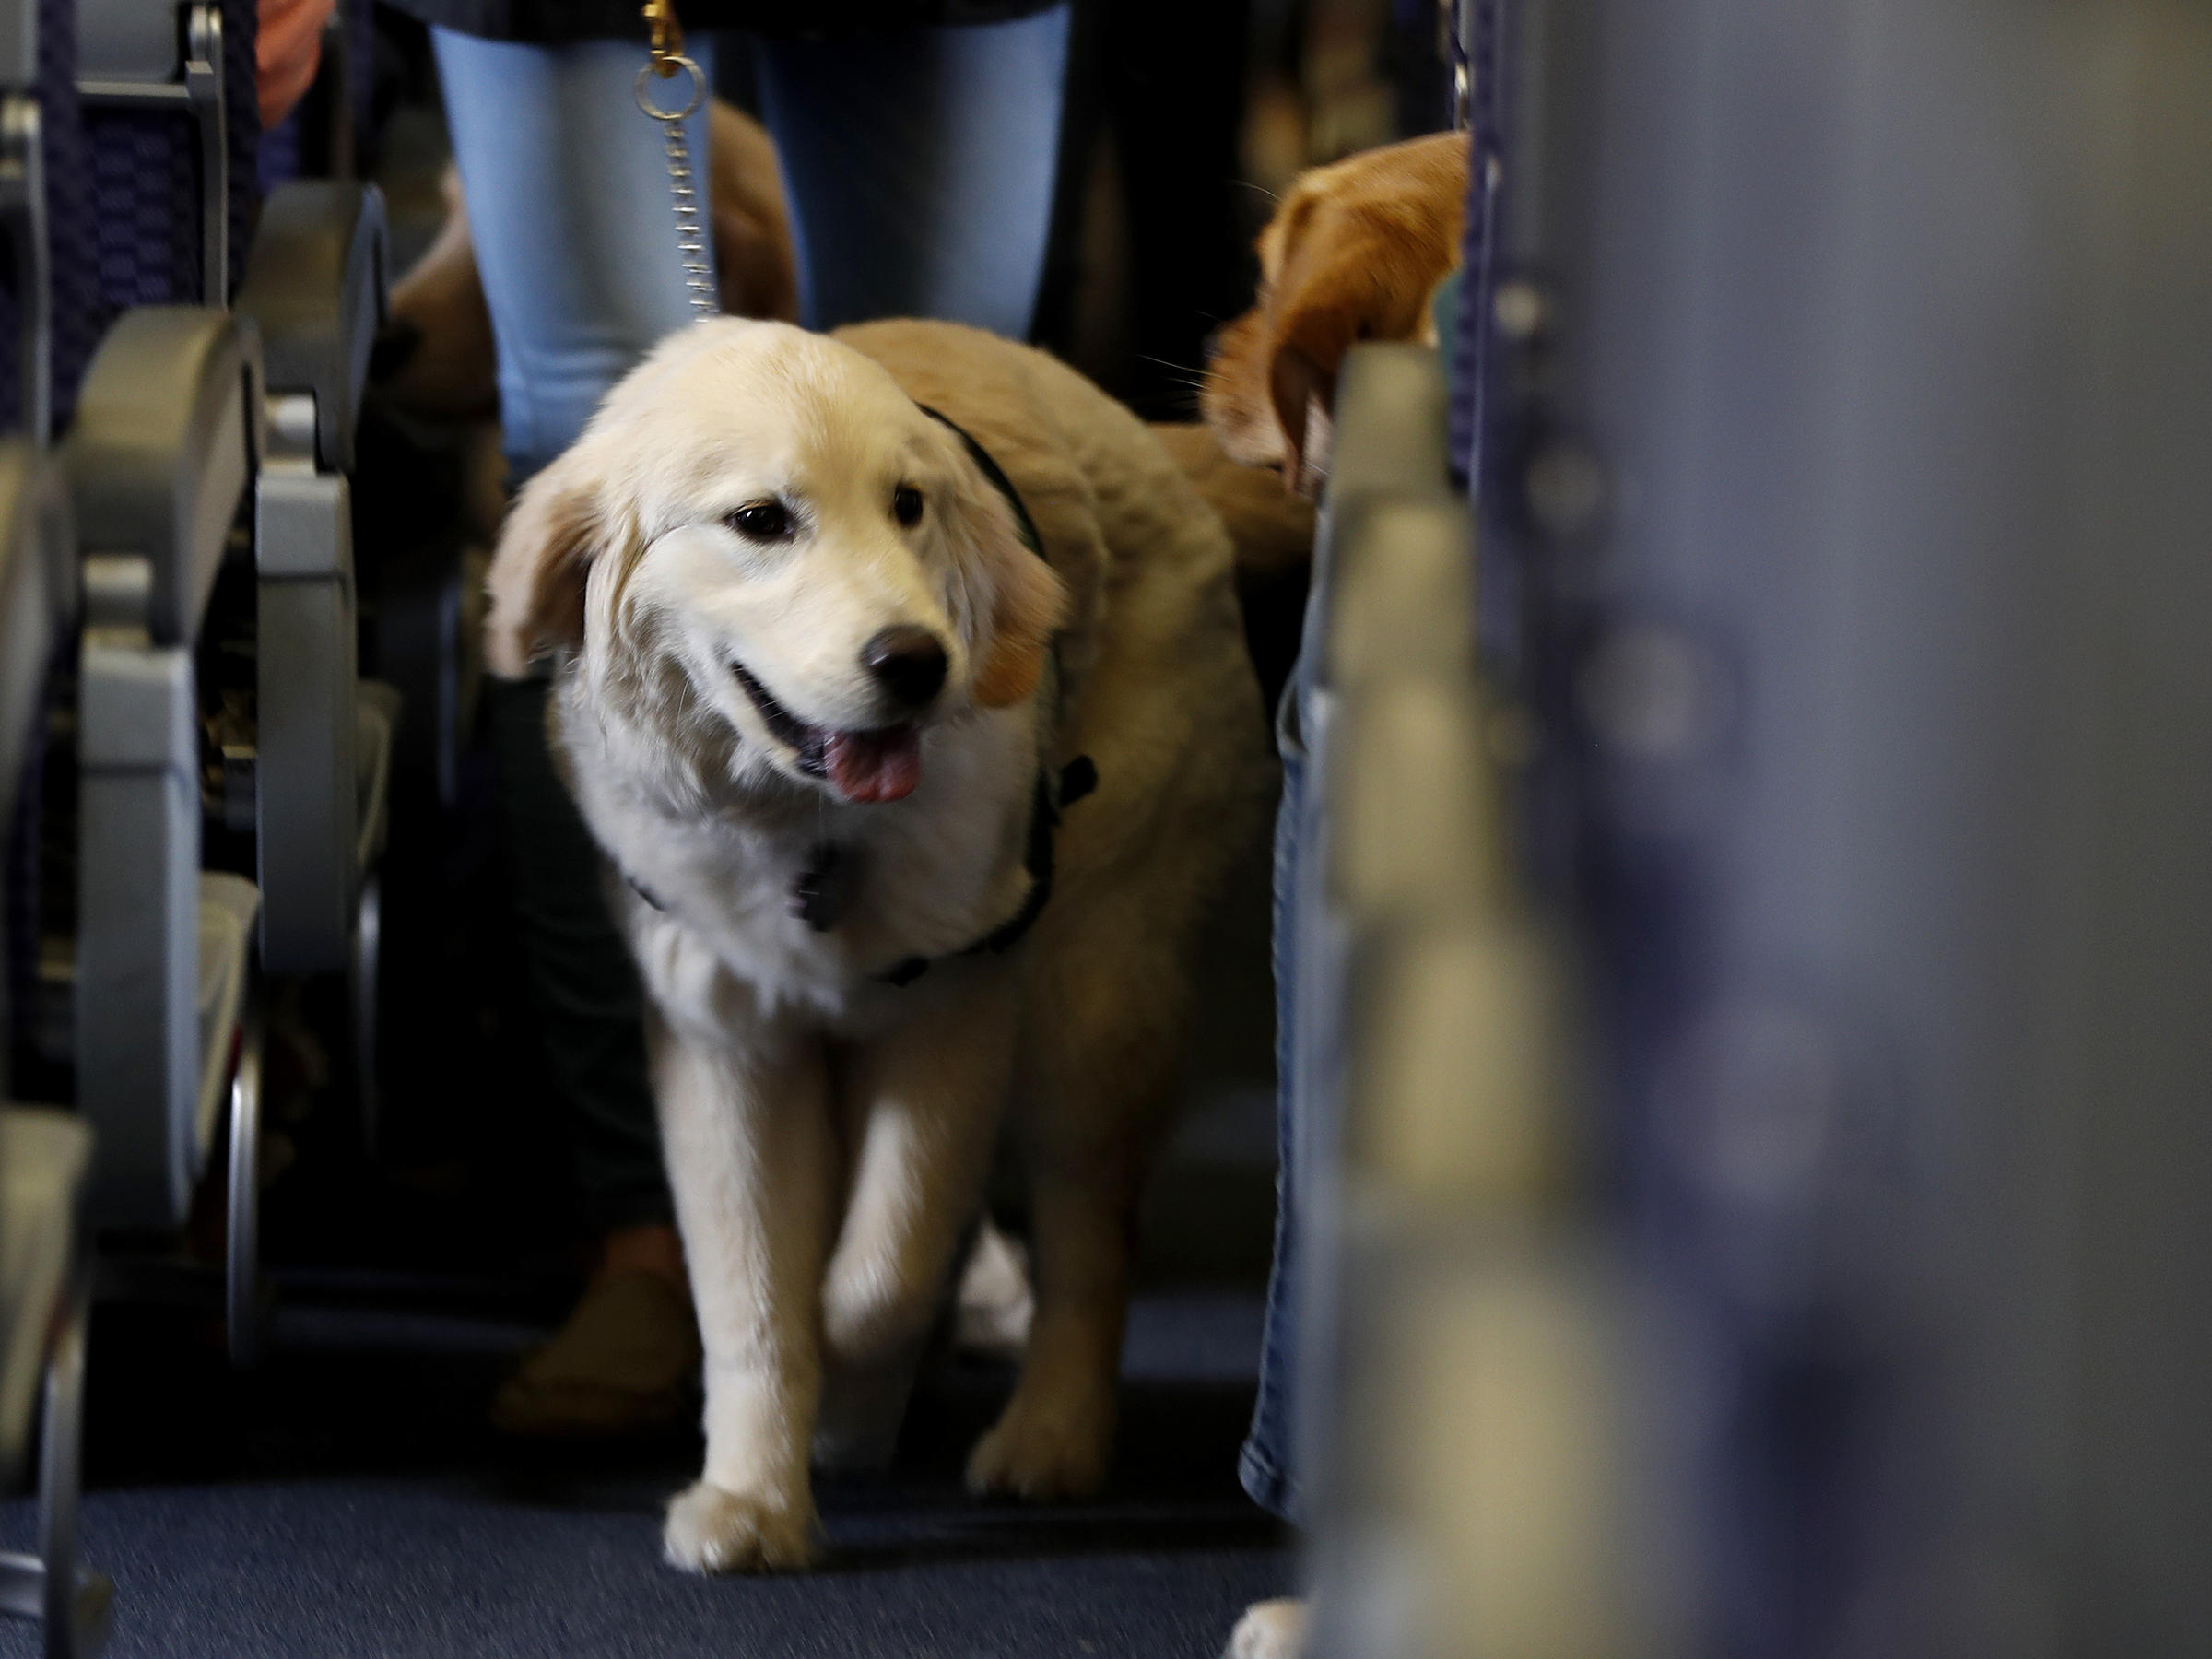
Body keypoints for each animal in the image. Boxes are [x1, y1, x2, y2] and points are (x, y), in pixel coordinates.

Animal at [484, 312, 1283, 1574]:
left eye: (909, 506)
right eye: (761, 520)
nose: (916, 662)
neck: (806, 829)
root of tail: (1144, 440)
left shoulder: (954, 1008)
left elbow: (880, 1271)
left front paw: (852, 1405)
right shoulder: (724, 1041)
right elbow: (753, 1294)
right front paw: (754, 1499)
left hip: (1095, 994)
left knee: (1089, 1241)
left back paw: (1050, 1436)